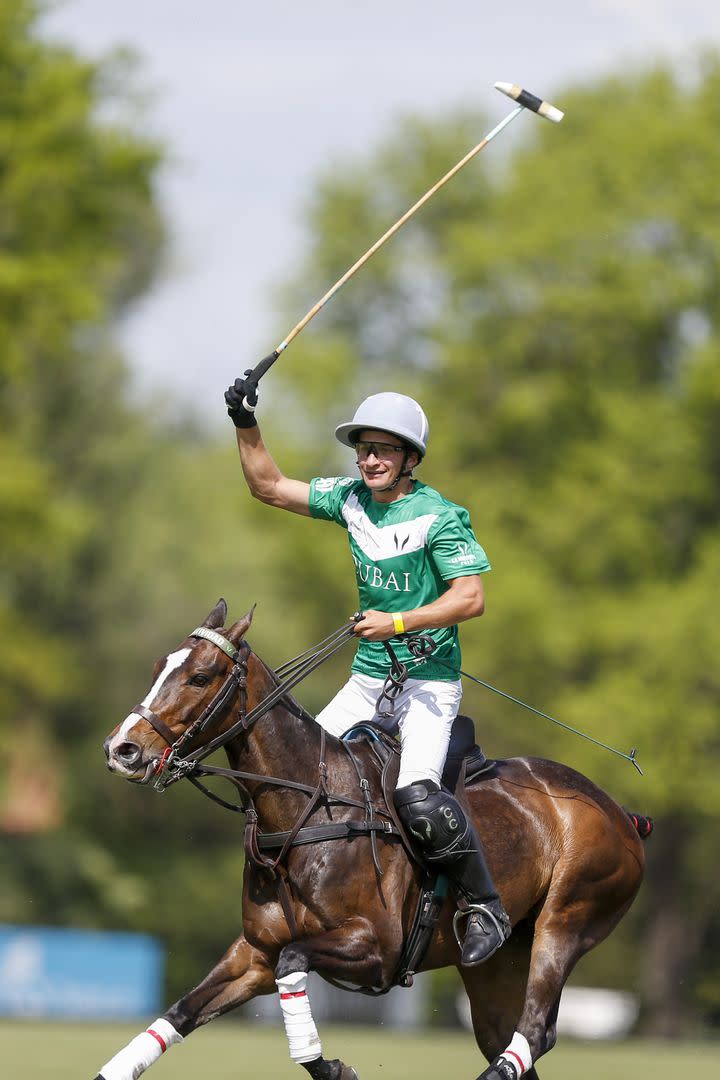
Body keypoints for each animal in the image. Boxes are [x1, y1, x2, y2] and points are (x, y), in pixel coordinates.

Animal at [97, 600, 651, 1080]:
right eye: (158, 667)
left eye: (200, 676)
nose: (121, 749)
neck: (304, 809)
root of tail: (624, 814)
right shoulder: (254, 953)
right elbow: (180, 1012)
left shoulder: (376, 948)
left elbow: (295, 964)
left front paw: (334, 1068)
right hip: (495, 965)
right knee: (509, 1036)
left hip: (568, 918)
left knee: (535, 1030)